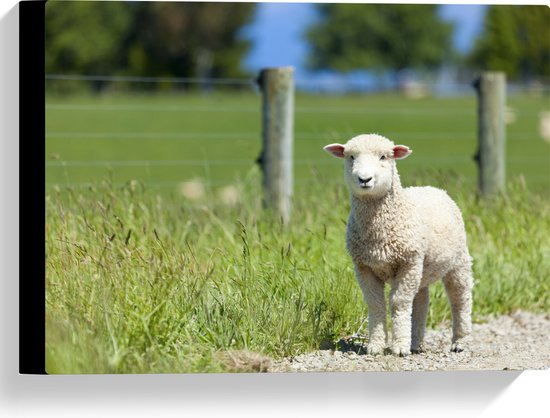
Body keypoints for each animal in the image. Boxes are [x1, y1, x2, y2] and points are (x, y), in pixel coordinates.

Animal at [326, 134, 476, 356]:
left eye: (383, 157)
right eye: (351, 157)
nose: (364, 179)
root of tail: (434, 188)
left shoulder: (407, 263)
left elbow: (399, 302)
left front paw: (399, 347)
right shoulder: (364, 266)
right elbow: (376, 303)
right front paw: (376, 346)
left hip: (457, 261)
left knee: (460, 298)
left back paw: (460, 341)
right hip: (421, 270)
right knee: (421, 302)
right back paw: (416, 343)